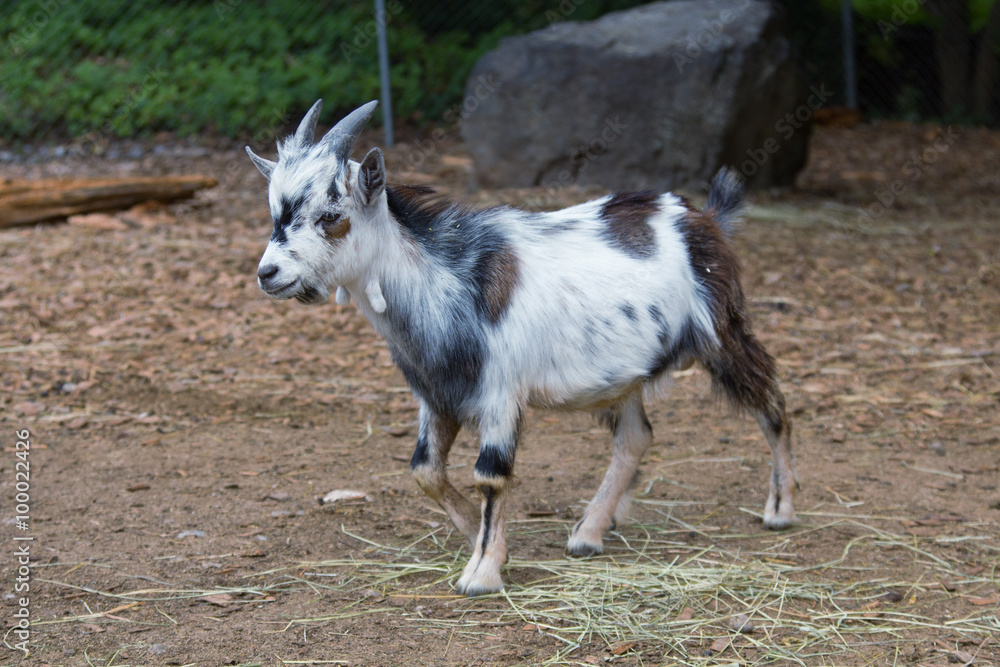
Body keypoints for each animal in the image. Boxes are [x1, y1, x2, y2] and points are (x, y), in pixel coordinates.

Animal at [247, 100, 799, 596]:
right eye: (273, 212)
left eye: (330, 214)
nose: (268, 273)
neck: (448, 285)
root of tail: (707, 219)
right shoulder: (437, 395)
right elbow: (425, 471)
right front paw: (481, 538)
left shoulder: (499, 394)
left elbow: (490, 476)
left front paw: (482, 572)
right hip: (623, 374)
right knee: (635, 438)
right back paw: (589, 533)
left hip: (723, 333)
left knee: (772, 404)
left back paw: (779, 510)